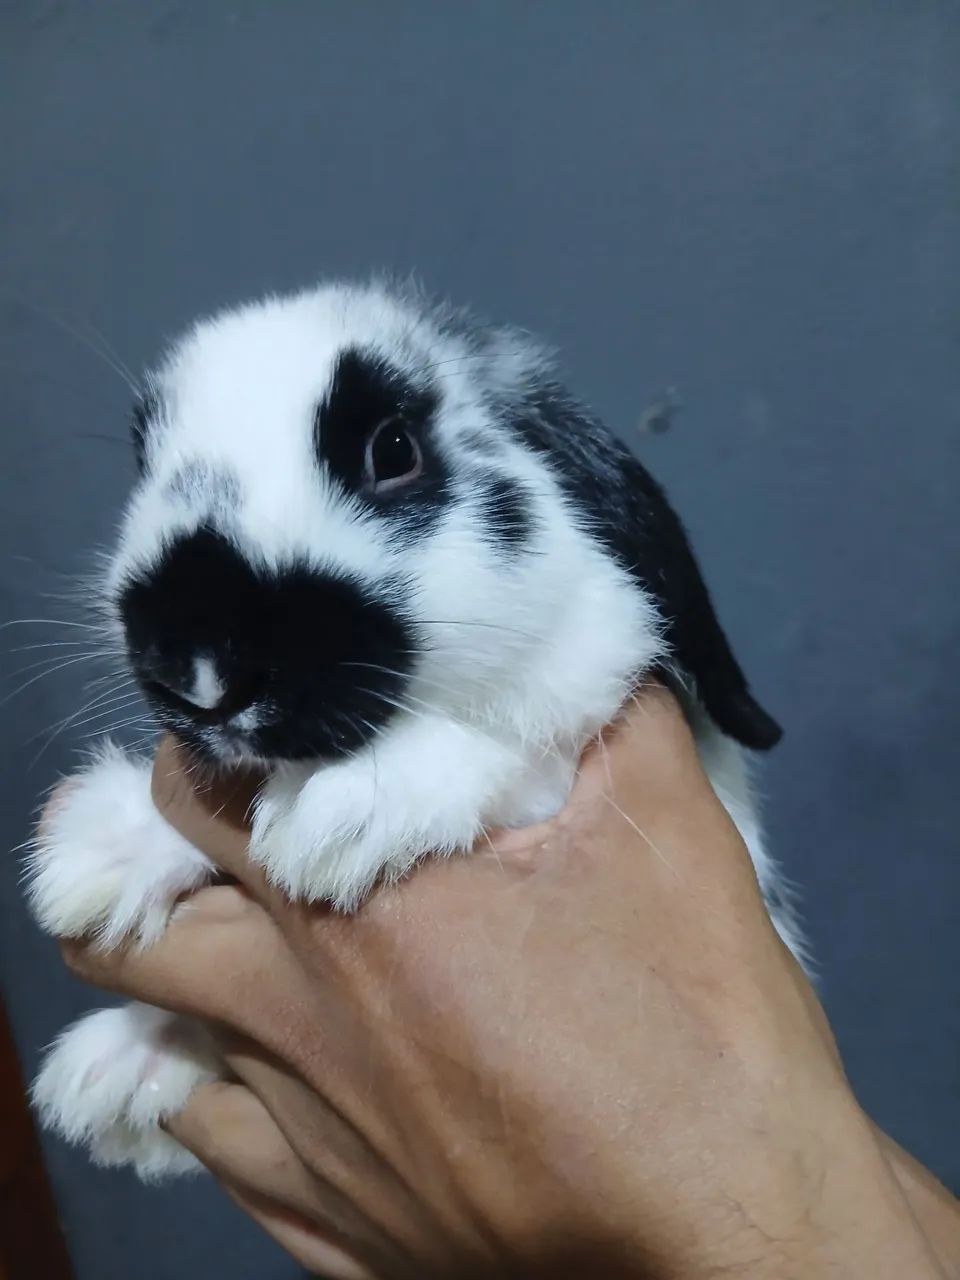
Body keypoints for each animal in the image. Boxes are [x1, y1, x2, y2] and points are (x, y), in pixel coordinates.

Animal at [26, 278, 803, 1180]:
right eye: (143, 461)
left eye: (392, 449)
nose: (198, 669)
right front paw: (97, 856)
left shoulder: (590, 695)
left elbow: (515, 745)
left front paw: (340, 820)